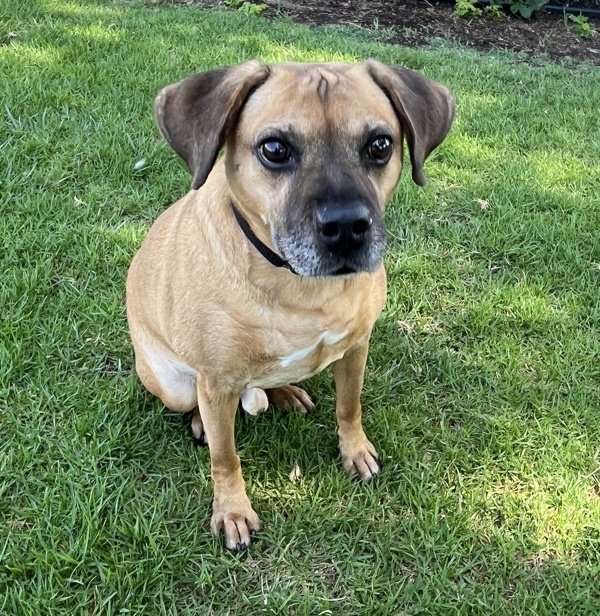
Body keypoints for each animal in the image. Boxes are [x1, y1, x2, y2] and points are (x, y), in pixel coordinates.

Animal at [127, 60, 454, 552]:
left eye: (380, 144)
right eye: (275, 149)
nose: (346, 228)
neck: (300, 286)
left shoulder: (357, 347)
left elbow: (349, 406)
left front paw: (355, 450)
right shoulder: (216, 382)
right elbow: (225, 458)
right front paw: (232, 510)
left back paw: (285, 391)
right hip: (174, 384)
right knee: (195, 404)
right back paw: (205, 420)